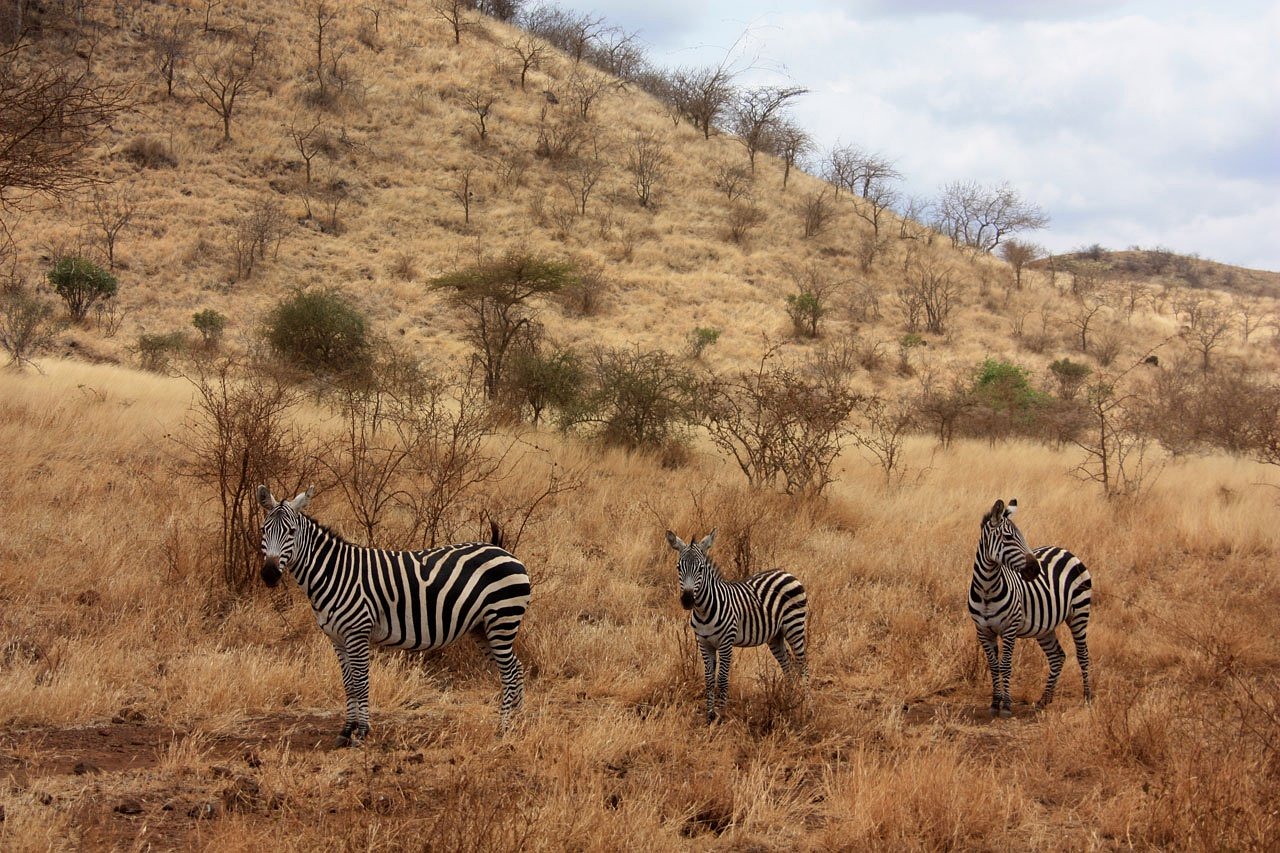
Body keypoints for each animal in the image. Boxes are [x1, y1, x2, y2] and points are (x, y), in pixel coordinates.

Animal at [254, 484, 529, 742]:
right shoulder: (337, 638)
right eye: (264, 530)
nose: (269, 575)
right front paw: (346, 731)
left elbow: (361, 682)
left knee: (510, 673)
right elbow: (348, 684)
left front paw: (362, 732)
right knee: (515, 669)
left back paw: (504, 729)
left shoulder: (357, 633)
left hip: (502, 620)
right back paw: (518, 722)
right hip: (482, 628)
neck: (335, 574)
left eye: (291, 532)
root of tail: (501, 550)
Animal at [665, 527, 803, 722]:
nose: (687, 600)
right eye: (678, 567)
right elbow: (709, 679)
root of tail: (786, 573)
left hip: (795, 627)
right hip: (775, 636)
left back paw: (807, 706)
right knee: (789, 667)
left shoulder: (726, 643)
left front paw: (721, 716)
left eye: (701, 568)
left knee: (803, 666)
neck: (704, 611)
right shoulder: (704, 643)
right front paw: (710, 715)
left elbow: (722, 679)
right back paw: (789, 702)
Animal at [962, 494, 1095, 712]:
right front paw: (995, 702)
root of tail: (1064, 550)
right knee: (1057, 656)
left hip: (1079, 613)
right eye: (1008, 538)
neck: (986, 590)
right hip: (1045, 626)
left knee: (1082, 654)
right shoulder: (983, 631)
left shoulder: (1009, 628)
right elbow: (994, 666)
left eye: (1021, 536)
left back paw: (1088, 698)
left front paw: (1007, 705)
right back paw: (1044, 700)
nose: (1035, 569)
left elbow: (1006, 665)